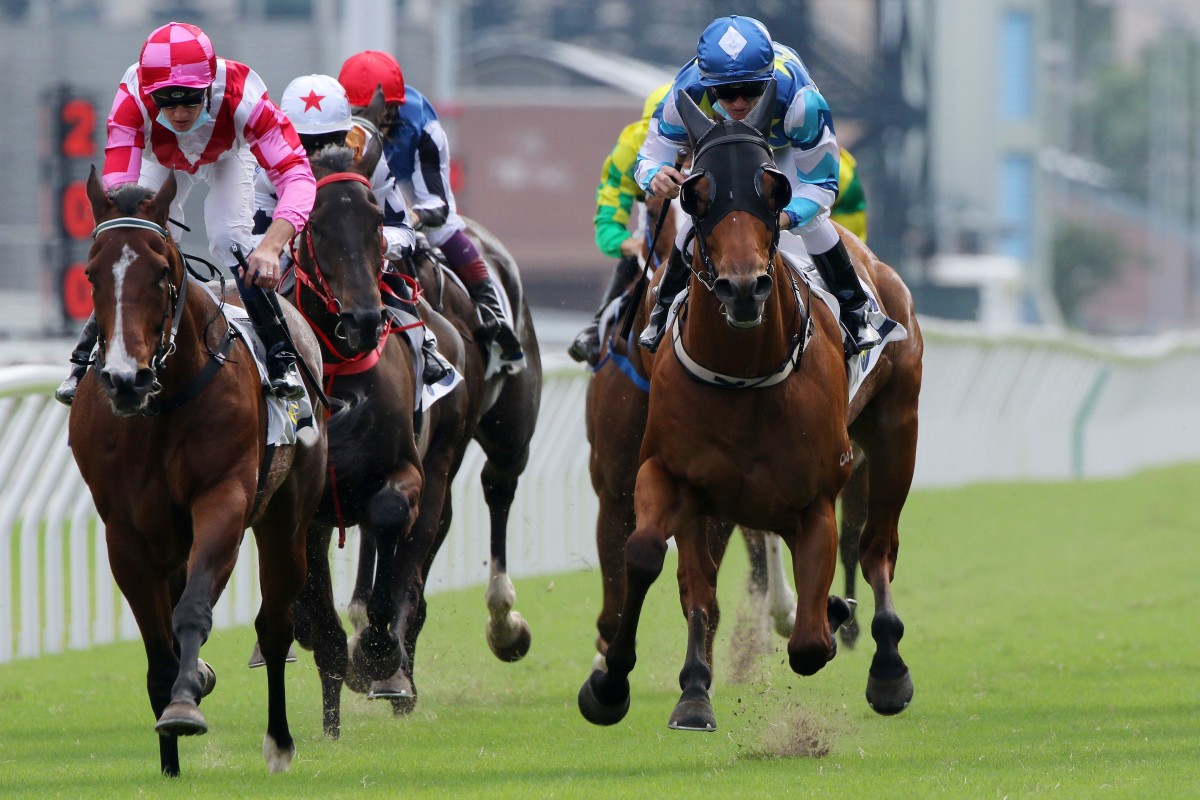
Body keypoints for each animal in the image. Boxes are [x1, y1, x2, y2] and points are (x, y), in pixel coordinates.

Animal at [72, 167, 331, 777]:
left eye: (162, 271)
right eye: (91, 272)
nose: (125, 379)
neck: (162, 406)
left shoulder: (224, 499)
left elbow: (191, 612)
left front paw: (186, 703)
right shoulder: (126, 533)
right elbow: (157, 648)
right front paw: (169, 756)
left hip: (286, 523)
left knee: (275, 626)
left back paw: (279, 742)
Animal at [278, 140, 470, 734]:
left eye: (374, 222)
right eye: (314, 225)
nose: (364, 319)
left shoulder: (404, 471)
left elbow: (388, 521)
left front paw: (377, 653)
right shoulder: (308, 502)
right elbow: (316, 611)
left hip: (442, 465)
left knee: (413, 555)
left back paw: (393, 674)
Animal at [576, 86, 921, 734]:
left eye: (773, 188)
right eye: (693, 192)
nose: (742, 288)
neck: (743, 374)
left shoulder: (815, 494)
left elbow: (809, 642)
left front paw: (828, 618)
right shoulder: (665, 475)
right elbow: (648, 558)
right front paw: (615, 683)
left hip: (895, 435)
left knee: (877, 548)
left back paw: (886, 665)